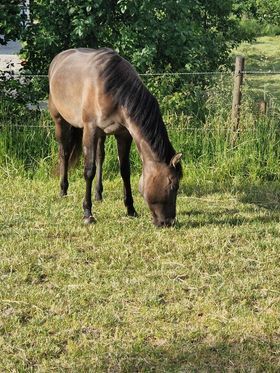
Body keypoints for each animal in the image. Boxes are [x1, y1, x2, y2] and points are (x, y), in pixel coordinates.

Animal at [49, 47, 183, 225]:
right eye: (173, 185)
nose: (168, 222)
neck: (114, 89)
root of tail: (59, 58)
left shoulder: (123, 134)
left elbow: (124, 170)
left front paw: (131, 209)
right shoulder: (90, 129)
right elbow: (89, 170)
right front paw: (87, 213)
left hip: (101, 134)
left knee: (100, 157)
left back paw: (98, 195)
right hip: (60, 120)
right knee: (64, 153)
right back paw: (63, 191)